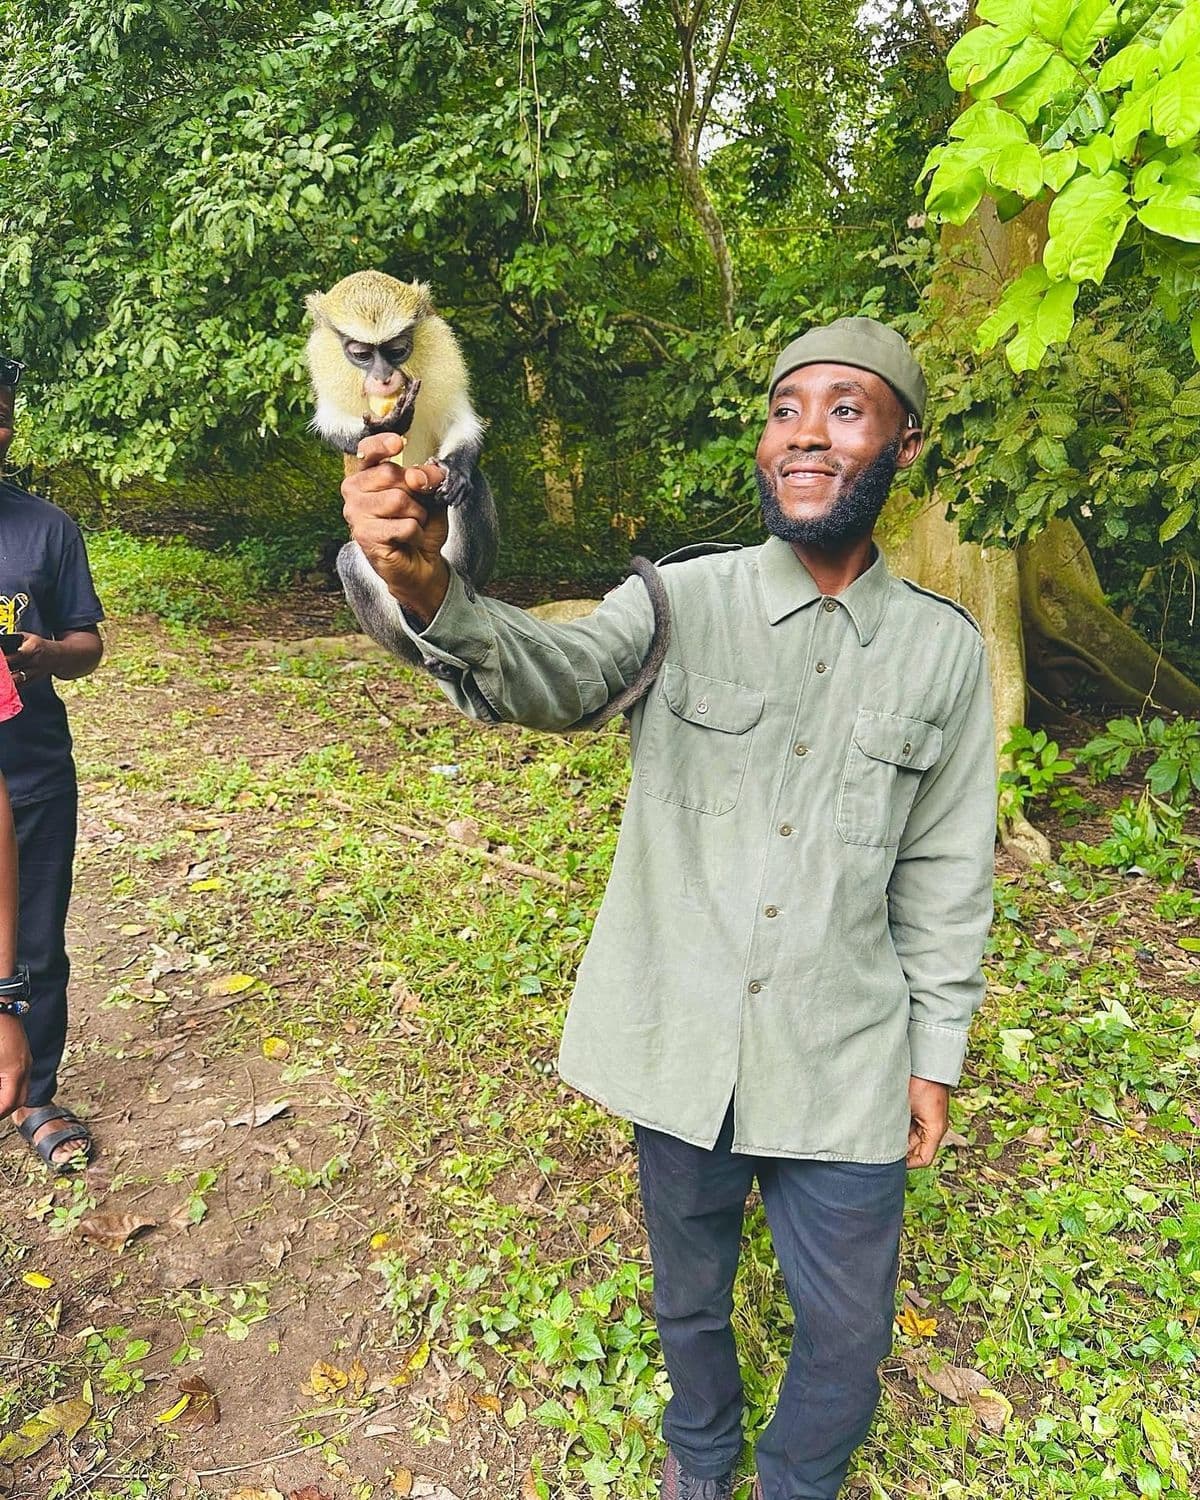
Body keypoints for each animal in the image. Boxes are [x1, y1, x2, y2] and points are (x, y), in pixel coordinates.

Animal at [305, 269, 670, 729]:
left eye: (396, 349)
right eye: (360, 354)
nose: (384, 378)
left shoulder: (442, 352)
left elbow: (461, 421)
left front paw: (457, 471)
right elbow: (337, 426)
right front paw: (381, 428)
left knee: (472, 499)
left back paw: (459, 580)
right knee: (351, 561)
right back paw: (432, 656)